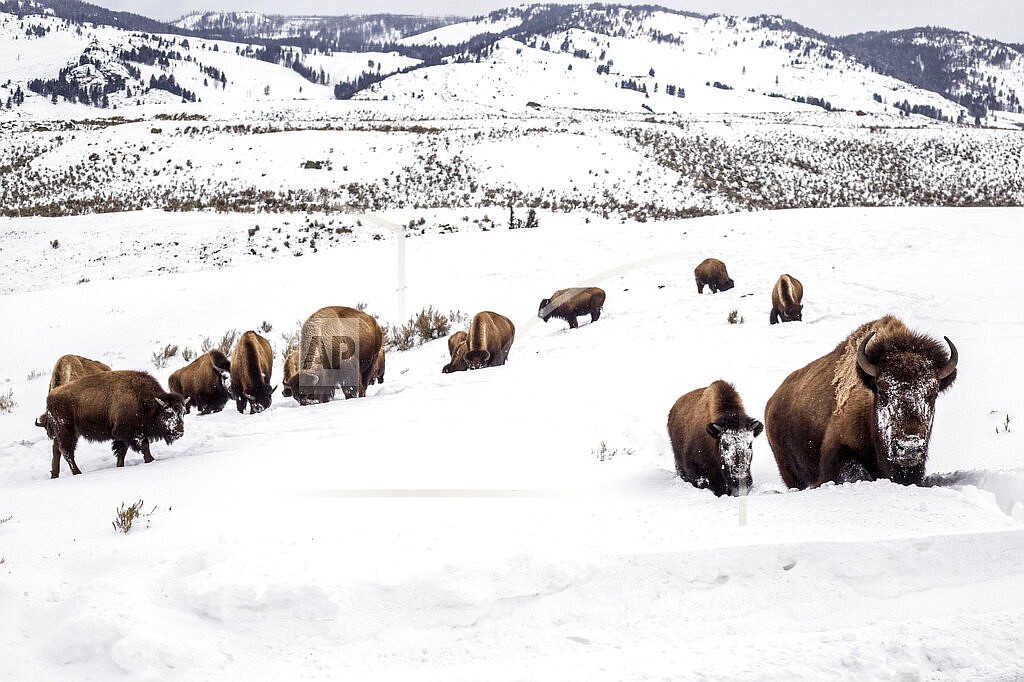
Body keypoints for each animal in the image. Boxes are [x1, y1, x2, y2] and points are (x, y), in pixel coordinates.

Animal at [39, 368, 188, 475]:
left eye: (182, 413)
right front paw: (151, 460)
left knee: (57, 451)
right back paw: (77, 473)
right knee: (67, 452)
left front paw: (120, 466)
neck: (141, 398)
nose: (180, 431)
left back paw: (55, 475)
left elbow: (122, 451)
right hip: (67, 432)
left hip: (61, 434)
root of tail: (50, 396)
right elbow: (144, 445)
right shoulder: (129, 432)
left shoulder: (122, 435)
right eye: (168, 413)